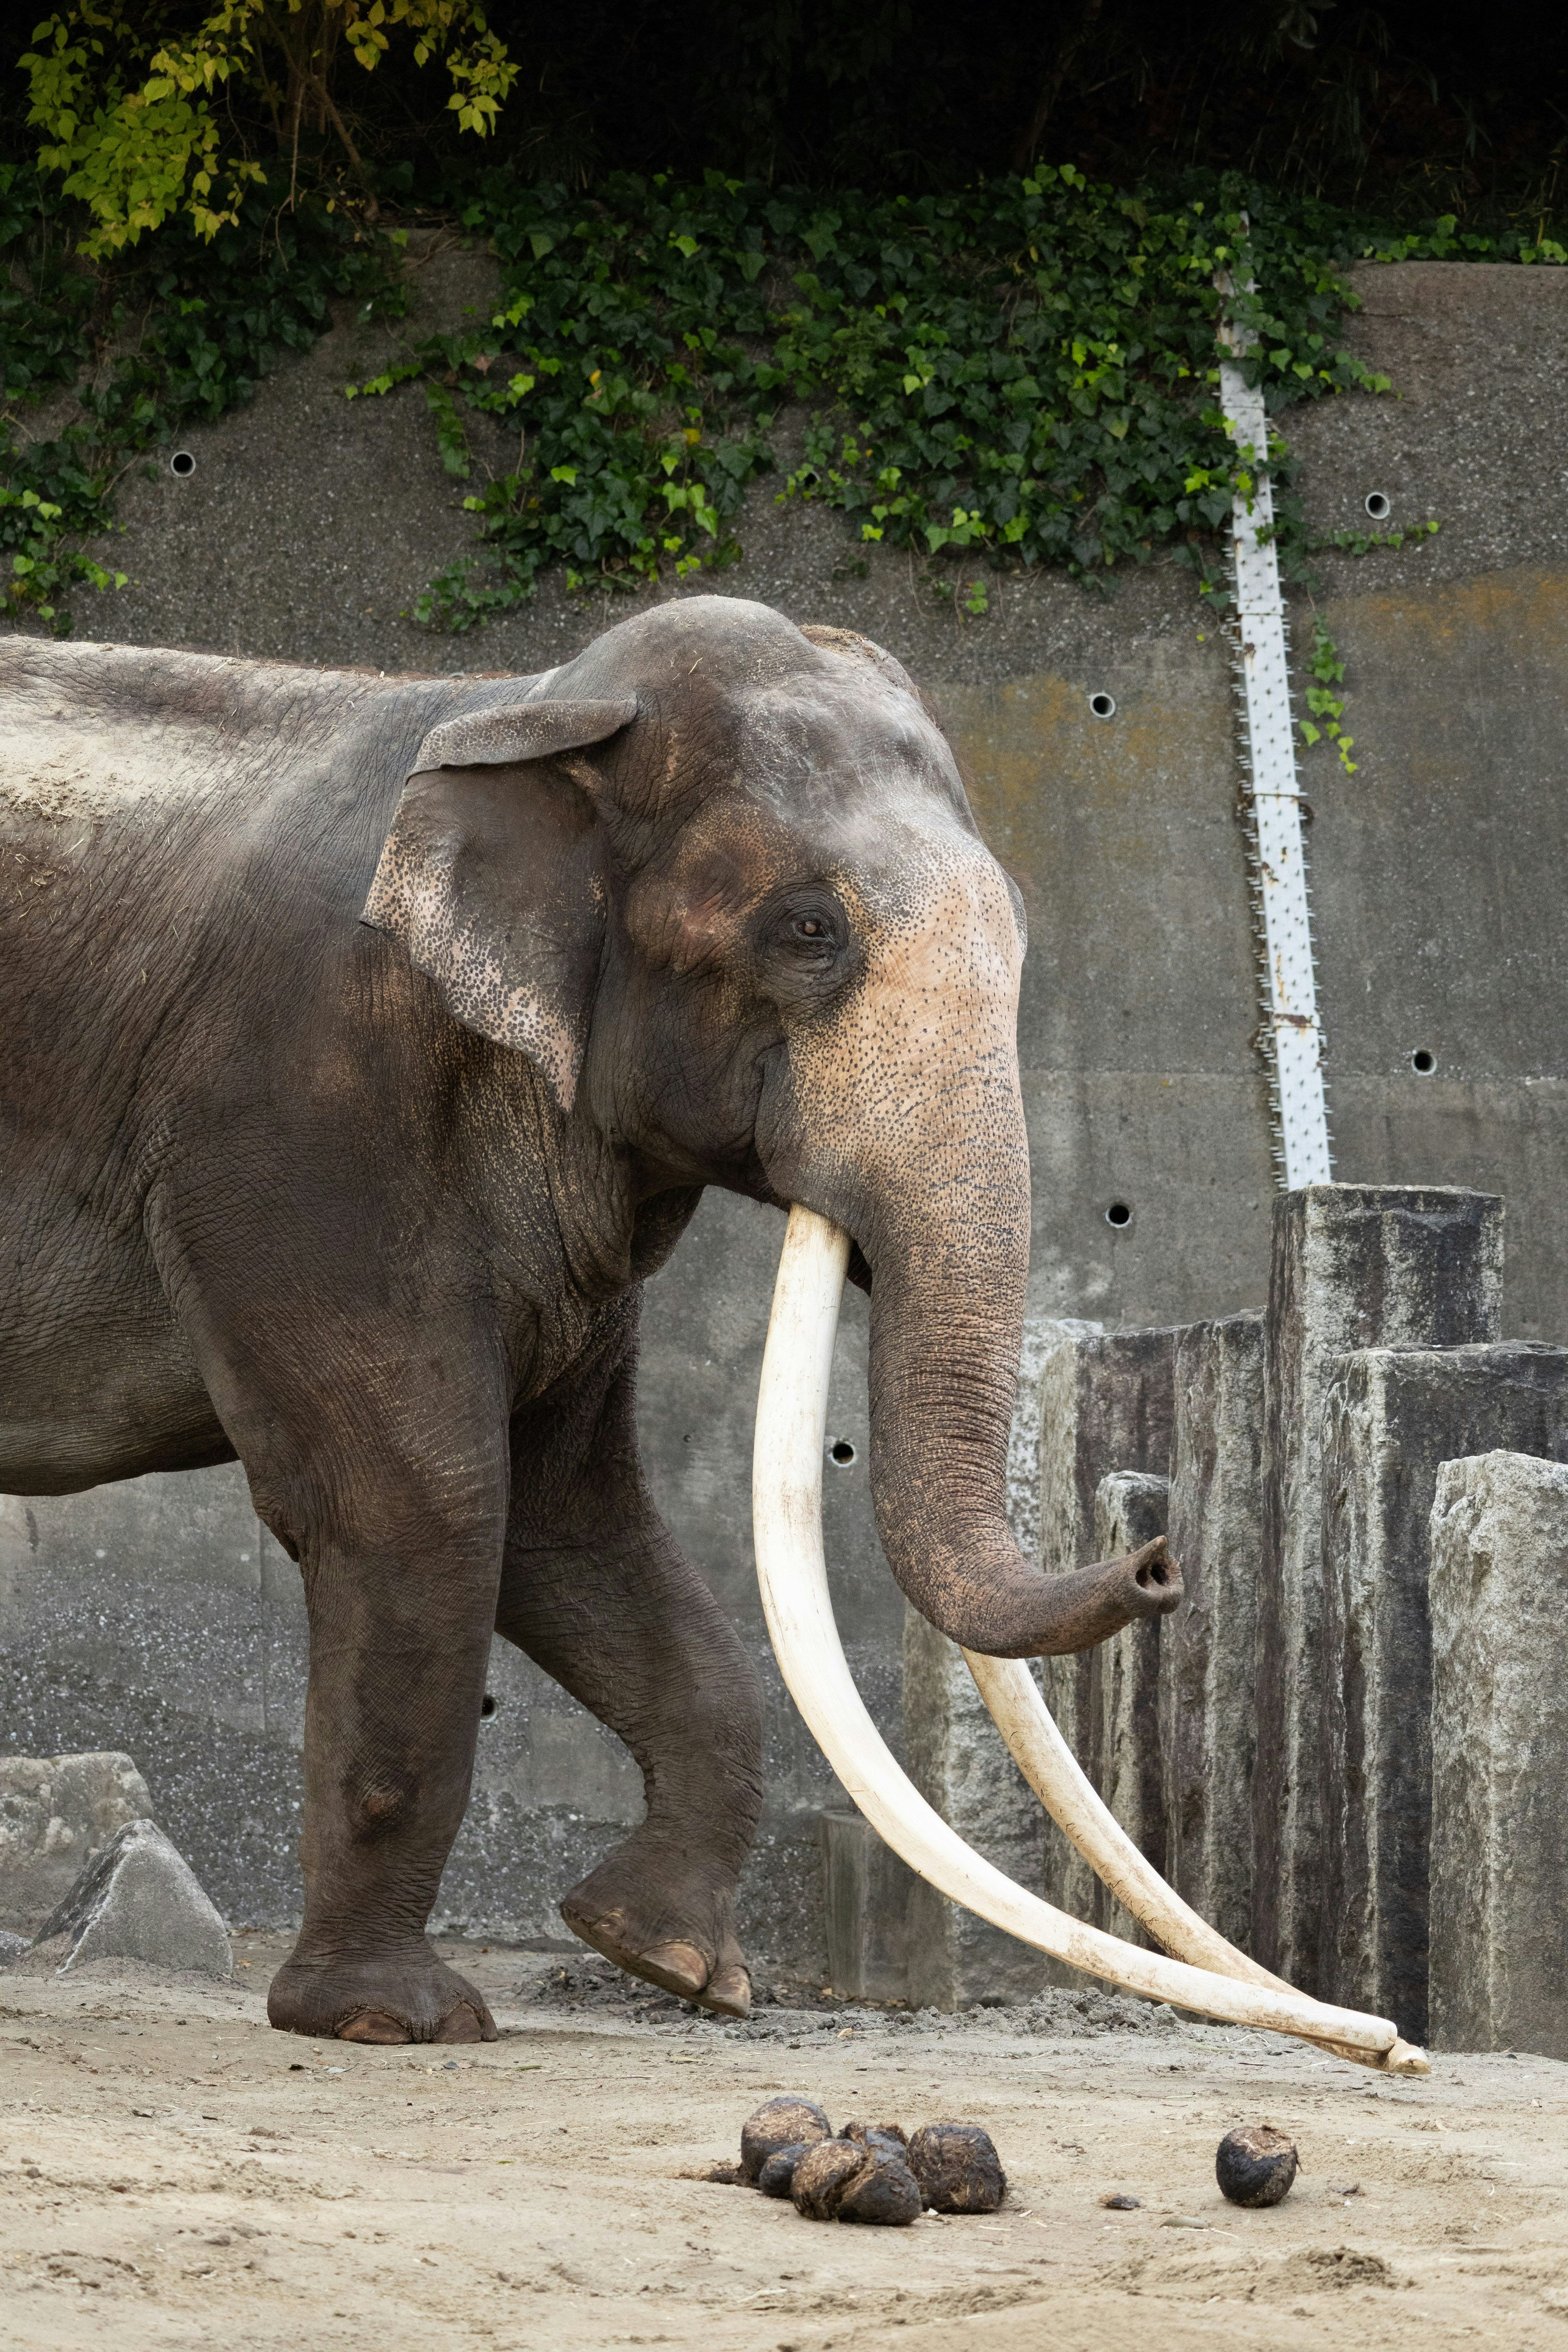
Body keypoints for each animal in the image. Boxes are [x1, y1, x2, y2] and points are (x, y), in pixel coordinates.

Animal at [0, 595, 1179, 2044]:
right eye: (807, 932)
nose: (1159, 1558)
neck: (530, 704)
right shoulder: (293, 1112)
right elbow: (427, 1497)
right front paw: (394, 2021)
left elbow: (567, 1517)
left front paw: (664, 1959)